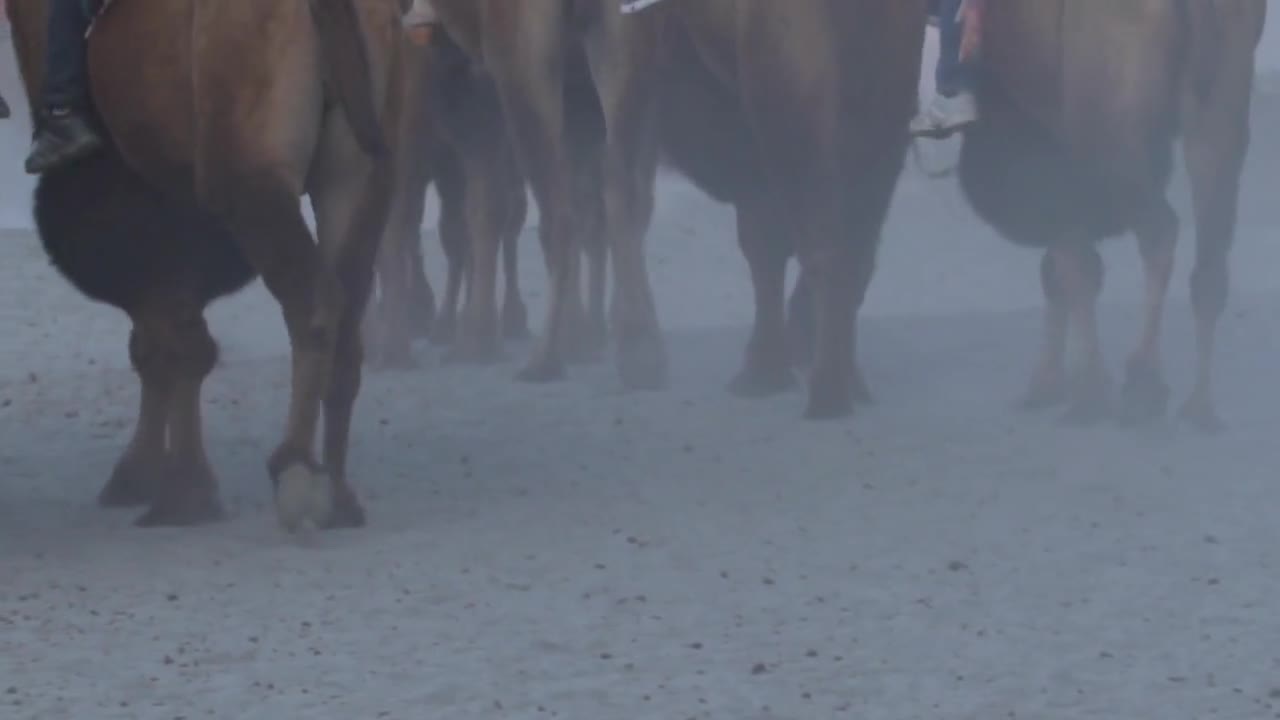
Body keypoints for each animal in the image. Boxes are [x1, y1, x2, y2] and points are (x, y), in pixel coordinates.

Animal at [7, 0, 401, 527]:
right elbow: (171, 339)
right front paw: (167, 484)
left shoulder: (139, 197)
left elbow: (172, 341)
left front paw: (172, 491)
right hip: (358, 179)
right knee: (348, 308)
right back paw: (338, 493)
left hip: (251, 183)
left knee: (312, 302)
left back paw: (295, 471)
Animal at [655, 0, 926, 417]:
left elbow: (764, 241)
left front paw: (761, 372)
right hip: (878, 98)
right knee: (852, 242)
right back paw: (844, 380)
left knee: (822, 239)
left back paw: (827, 393)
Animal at [957, 0, 1264, 425]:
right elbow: (1065, 268)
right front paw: (1053, 386)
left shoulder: (1064, 163)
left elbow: (1073, 268)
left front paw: (1082, 391)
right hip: (1216, 120)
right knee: (1210, 259)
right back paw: (1198, 407)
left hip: (1118, 145)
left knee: (1160, 231)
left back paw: (1144, 383)